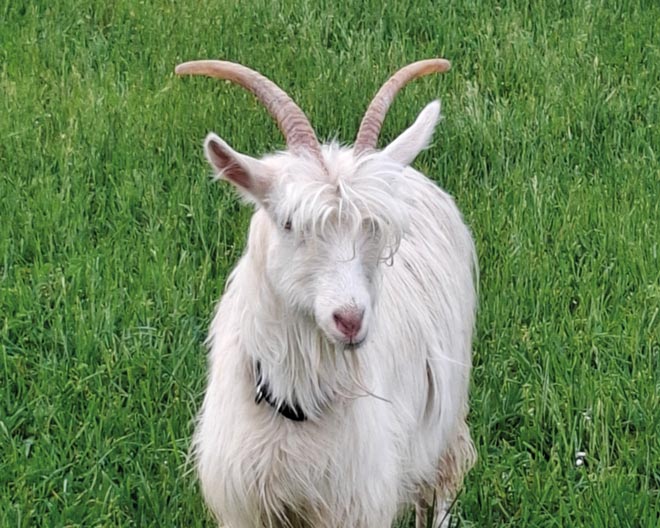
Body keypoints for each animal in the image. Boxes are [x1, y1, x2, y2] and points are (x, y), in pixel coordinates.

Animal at [176, 58, 477, 528]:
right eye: (288, 223)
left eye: (375, 228)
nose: (350, 319)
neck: (295, 404)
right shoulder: (246, 502)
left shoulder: (355, 501)